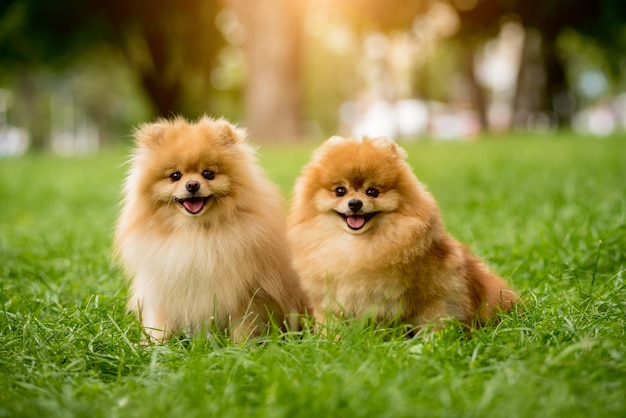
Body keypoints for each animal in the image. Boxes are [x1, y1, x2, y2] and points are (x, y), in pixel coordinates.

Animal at [114, 115, 308, 342]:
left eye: (208, 174)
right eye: (175, 176)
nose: (192, 185)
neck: (195, 232)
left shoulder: (246, 294)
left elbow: (244, 326)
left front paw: (241, 347)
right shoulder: (162, 288)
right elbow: (160, 324)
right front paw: (154, 345)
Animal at [286, 136, 516, 332]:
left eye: (372, 192)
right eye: (340, 191)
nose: (355, 203)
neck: (357, 245)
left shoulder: (422, 295)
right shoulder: (328, 301)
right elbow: (330, 326)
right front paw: (329, 341)